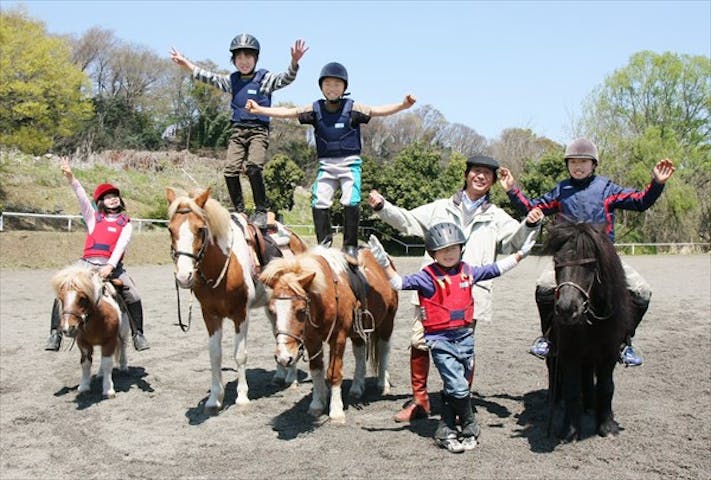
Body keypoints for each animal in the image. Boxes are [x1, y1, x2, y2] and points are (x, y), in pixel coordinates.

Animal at [50, 266, 130, 398]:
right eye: (61, 298)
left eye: (82, 298)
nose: (68, 328)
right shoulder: (83, 343)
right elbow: (86, 363)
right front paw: (83, 386)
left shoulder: (110, 341)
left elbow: (107, 363)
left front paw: (108, 389)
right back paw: (100, 374)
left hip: (123, 331)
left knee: (123, 346)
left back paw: (124, 366)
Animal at [168, 187, 308, 412]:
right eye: (170, 229)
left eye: (200, 229)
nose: (183, 276)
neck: (223, 265)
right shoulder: (210, 315)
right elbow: (215, 354)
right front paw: (214, 398)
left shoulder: (240, 314)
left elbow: (240, 354)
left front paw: (242, 396)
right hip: (272, 306)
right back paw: (280, 374)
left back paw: (292, 378)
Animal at [260, 246, 398, 422]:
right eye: (272, 311)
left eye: (301, 310)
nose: (284, 357)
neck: (328, 296)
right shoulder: (312, 340)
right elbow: (316, 370)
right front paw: (317, 404)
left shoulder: (338, 338)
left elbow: (334, 373)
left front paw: (336, 411)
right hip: (357, 332)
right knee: (360, 355)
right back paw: (357, 387)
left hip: (388, 322)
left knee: (384, 350)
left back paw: (383, 383)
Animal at [544, 221, 636, 442]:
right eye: (557, 262)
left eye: (590, 265)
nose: (566, 309)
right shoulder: (569, 352)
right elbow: (571, 389)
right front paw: (569, 430)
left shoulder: (609, 353)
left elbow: (606, 387)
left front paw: (607, 426)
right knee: (553, 373)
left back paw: (589, 405)